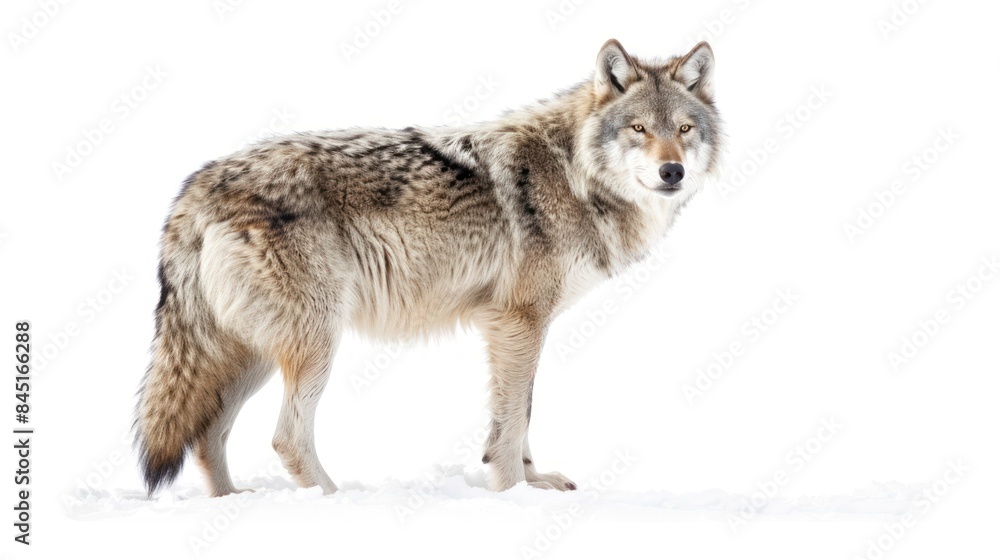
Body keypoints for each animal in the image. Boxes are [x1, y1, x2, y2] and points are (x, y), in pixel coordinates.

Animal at [134, 39, 723, 497]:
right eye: (639, 128)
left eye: (684, 129)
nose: (672, 172)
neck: (575, 173)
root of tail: (196, 187)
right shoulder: (518, 322)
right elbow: (513, 423)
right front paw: (513, 493)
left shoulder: (522, 327)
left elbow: (521, 416)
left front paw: (533, 485)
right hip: (315, 341)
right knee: (286, 437)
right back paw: (332, 500)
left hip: (254, 350)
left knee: (207, 434)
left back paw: (234, 501)